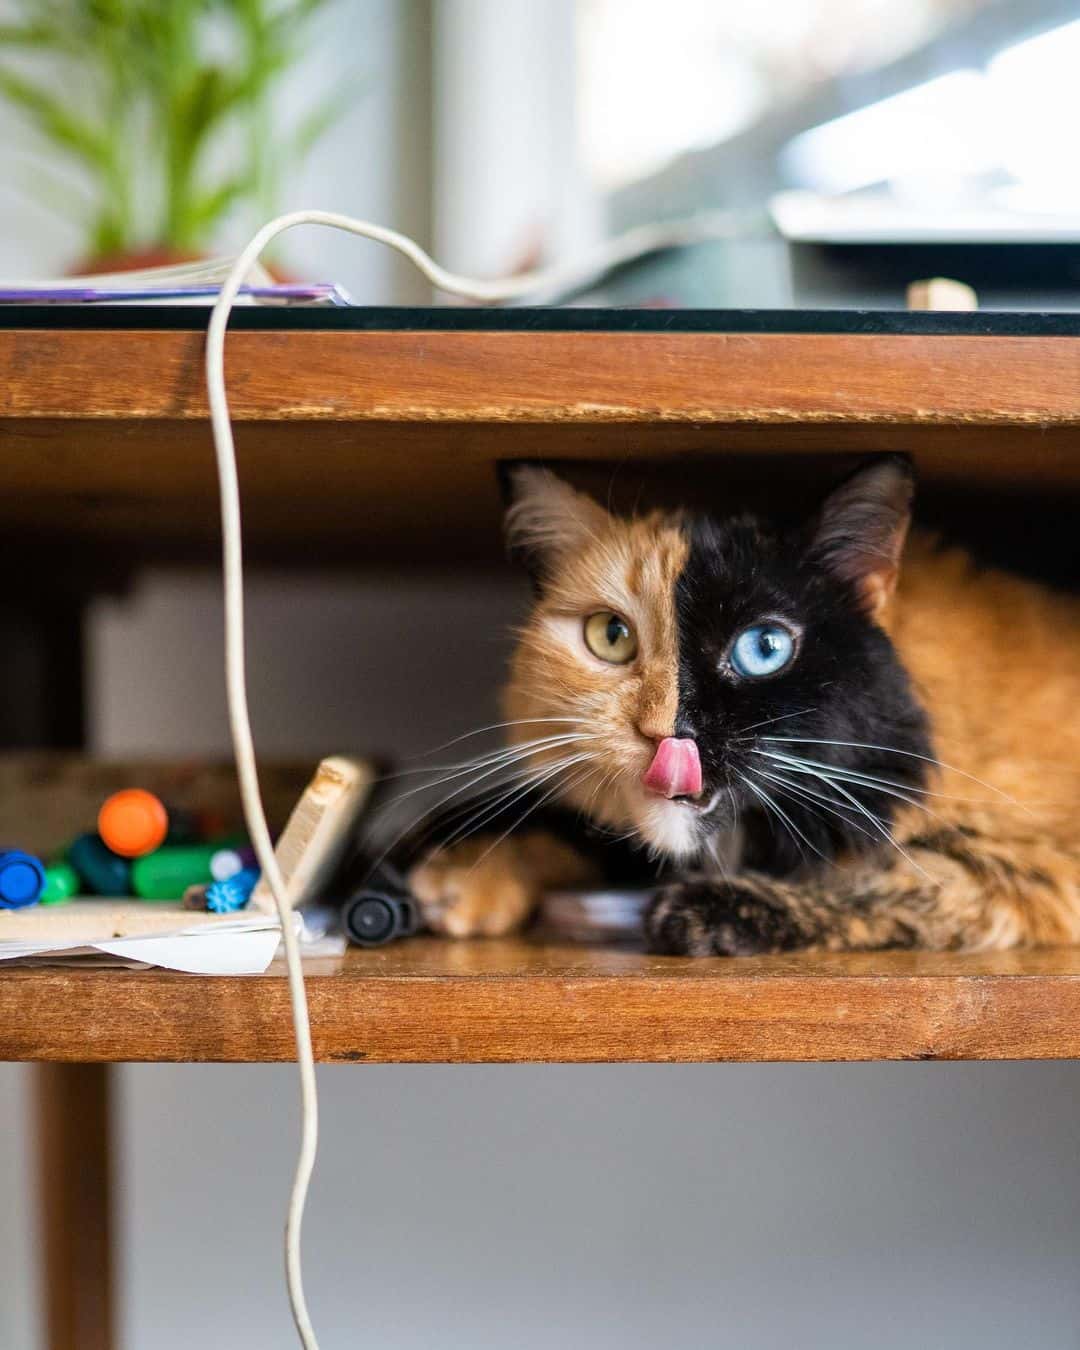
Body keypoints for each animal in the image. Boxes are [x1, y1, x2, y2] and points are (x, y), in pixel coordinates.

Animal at [405, 459, 1080, 955]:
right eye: (610, 636)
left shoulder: (1037, 866)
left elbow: (890, 879)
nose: (667, 733)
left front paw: (703, 910)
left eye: (765, 647)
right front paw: (465, 870)